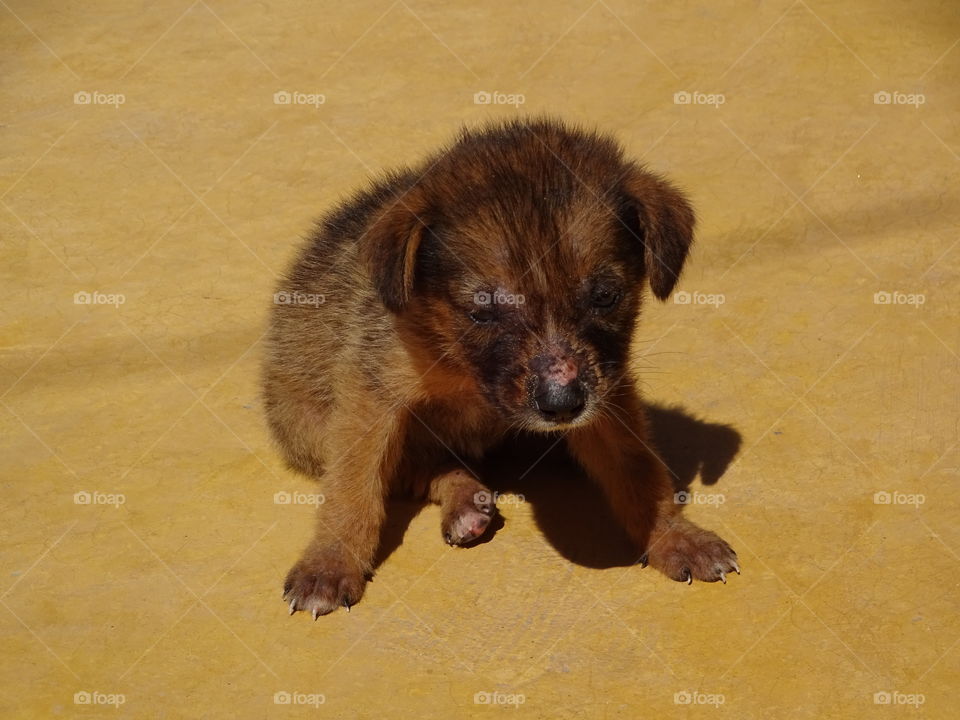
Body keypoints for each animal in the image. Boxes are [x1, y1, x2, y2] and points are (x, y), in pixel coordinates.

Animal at [266, 118, 740, 620]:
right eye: (482, 310)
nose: (562, 405)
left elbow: (638, 470)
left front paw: (673, 534)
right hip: (307, 426)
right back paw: (463, 501)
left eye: (606, 297)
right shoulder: (370, 395)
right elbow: (353, 486)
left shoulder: (606, 392)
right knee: (417, 465)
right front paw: (331, 562)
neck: (466, 368)